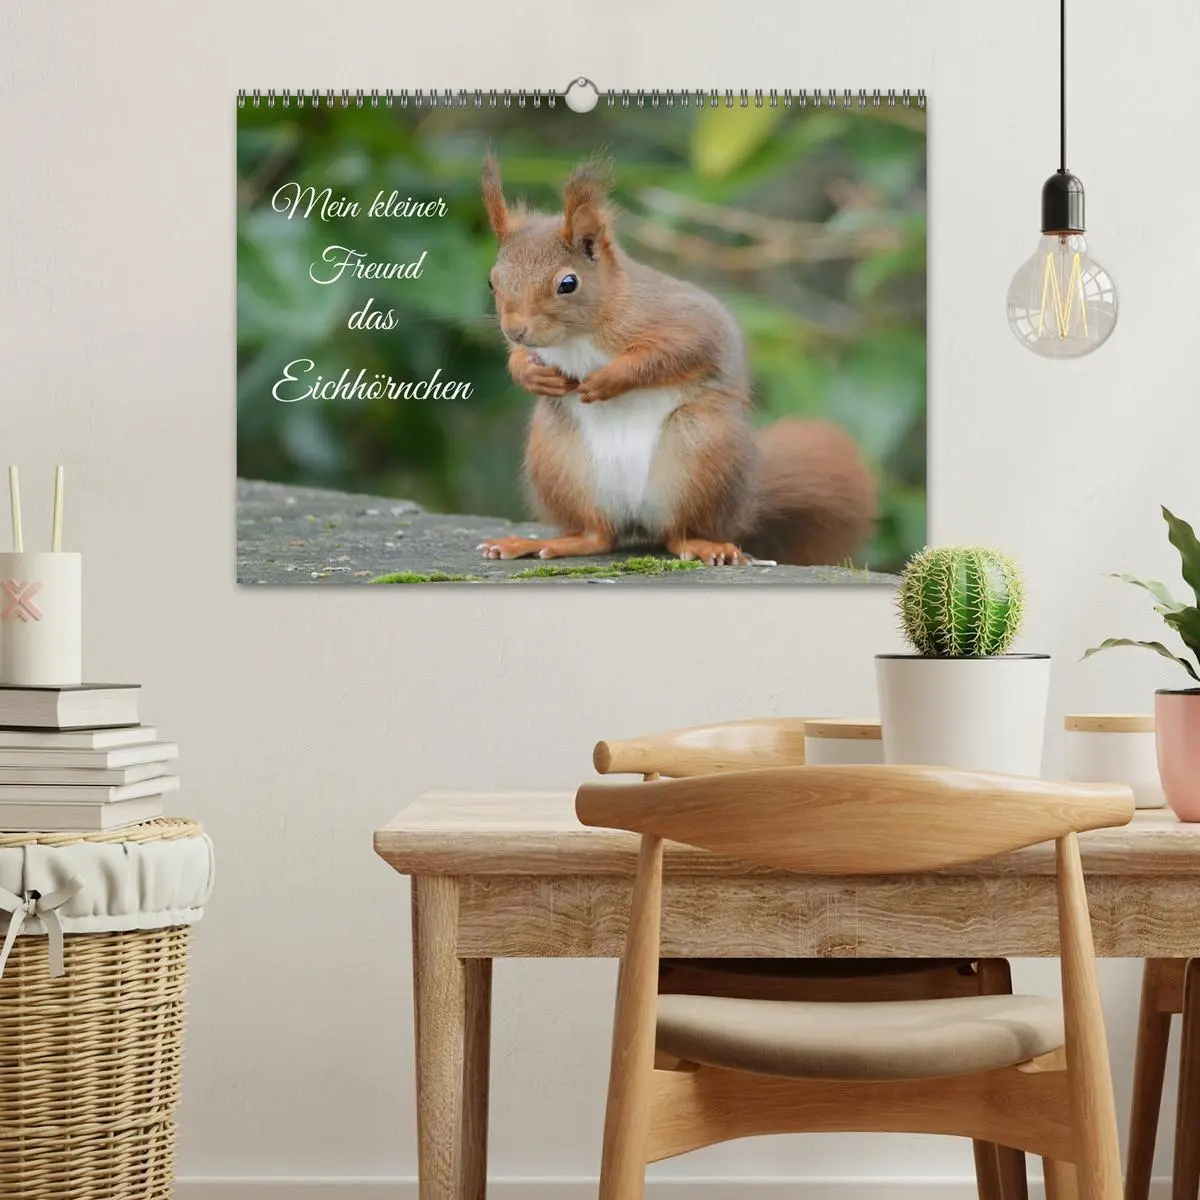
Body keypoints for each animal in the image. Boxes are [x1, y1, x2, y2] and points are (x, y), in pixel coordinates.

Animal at [478, 153, 878, 568]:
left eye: (568, 284)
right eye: (492, 281)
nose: (515, 330)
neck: (579, 335)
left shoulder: (680, 321)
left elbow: (673, 352)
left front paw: (608, 379)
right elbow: (523, 360)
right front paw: (530, 373)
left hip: (699, 451)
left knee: (677, 534)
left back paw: (707, 546)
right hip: (559, 460)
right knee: (598, 536)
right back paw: (544, 543)